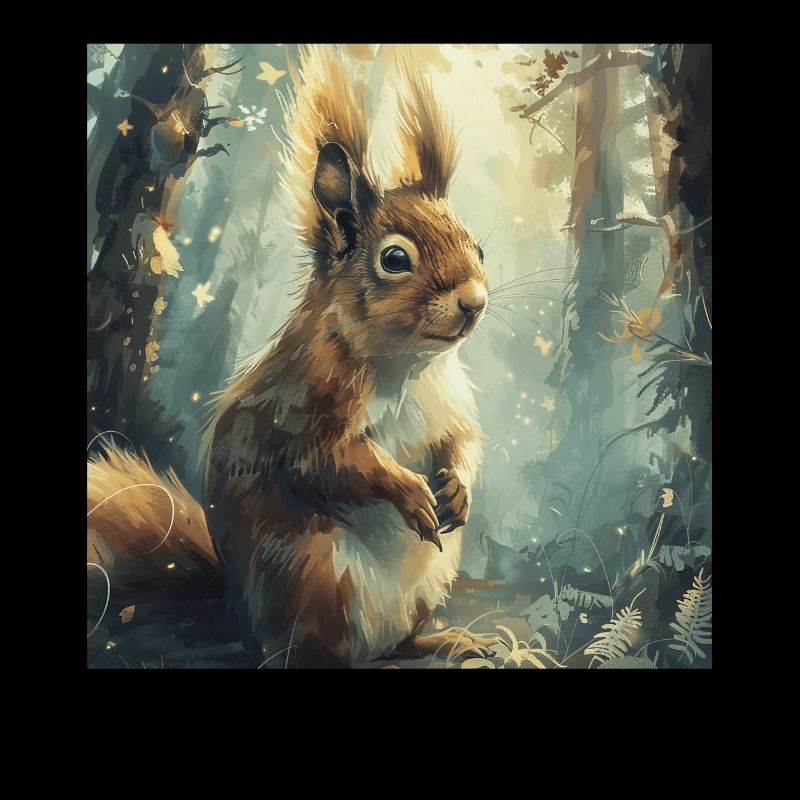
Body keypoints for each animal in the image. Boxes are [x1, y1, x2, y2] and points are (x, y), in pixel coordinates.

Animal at [87, 46, 495, 667]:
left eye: (478, 247)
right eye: (395, 259)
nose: (473, 302)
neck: (407, 363)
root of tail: (243, 618)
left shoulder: (450, 406)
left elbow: (464, 444)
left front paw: (457, 490)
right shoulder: (302, 404)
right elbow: (331, 462)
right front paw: (411, 492)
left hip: (426, 583)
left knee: (398, 645)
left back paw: (449, 639)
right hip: (318, 577)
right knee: (311, 653)